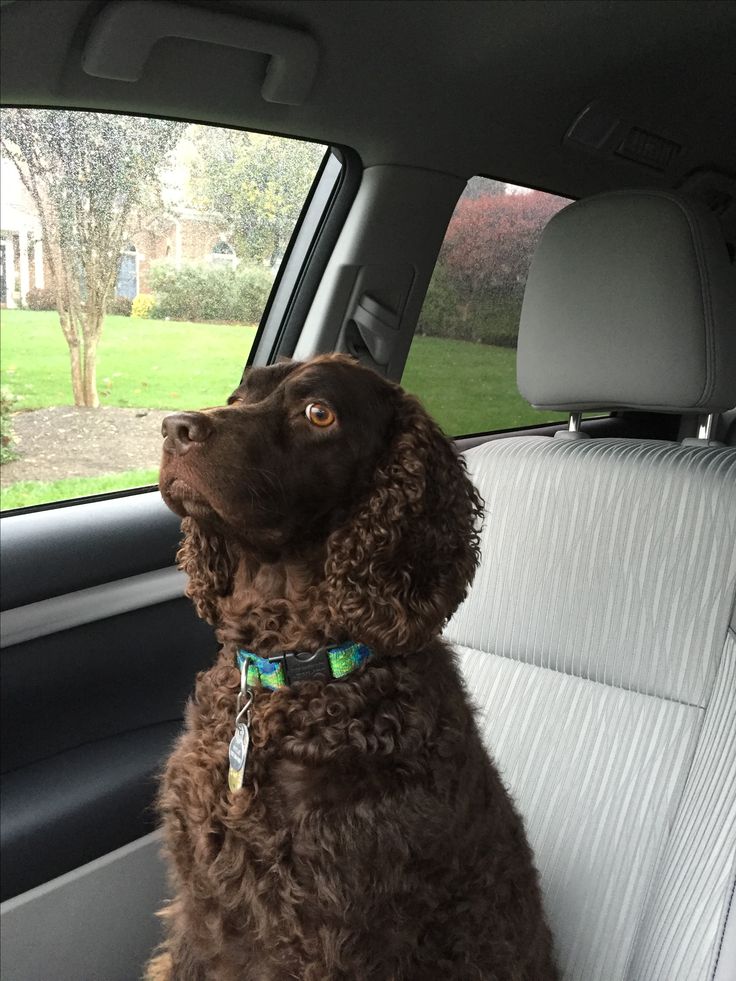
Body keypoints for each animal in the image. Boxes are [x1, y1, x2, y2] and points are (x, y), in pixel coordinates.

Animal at [148, 356, 552, 976]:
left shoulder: (326, 937)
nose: (175, 428)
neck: (292, 675)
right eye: (239, 396)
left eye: (319, 413)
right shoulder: (201, 905)